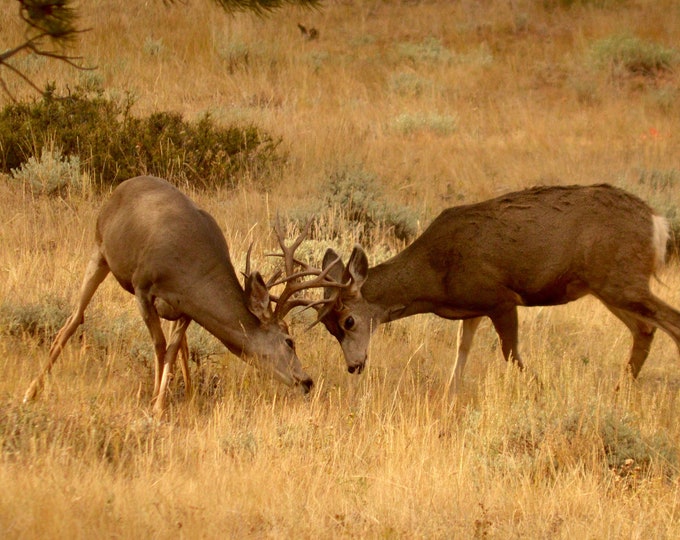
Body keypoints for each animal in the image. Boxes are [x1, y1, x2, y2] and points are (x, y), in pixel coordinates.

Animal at [22, 175, 331, 415]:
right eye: (289, 341)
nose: (307, 381)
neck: (189, 267)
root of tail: (123, 185)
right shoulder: (143, 288)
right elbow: (159, 345)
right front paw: (155, 405)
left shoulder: (186, 307)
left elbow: (172, 348)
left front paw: (161, 402)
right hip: (100, 250)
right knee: (75, 317)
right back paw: (31, 391)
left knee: (178, 346)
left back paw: (190, 391)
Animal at [314, 184, 680, 391]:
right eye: (327, 327)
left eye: (349, 320)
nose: (354, 366)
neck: (434, 275)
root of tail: (656, 222)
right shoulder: (471, 308)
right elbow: (462, 351)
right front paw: (451, 395)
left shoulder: (500, 297)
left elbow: (510, 353)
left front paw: (541, 387)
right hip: (608, 285)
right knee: (645, 328)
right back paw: (621, 387)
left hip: (621, 279)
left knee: (670, 321)